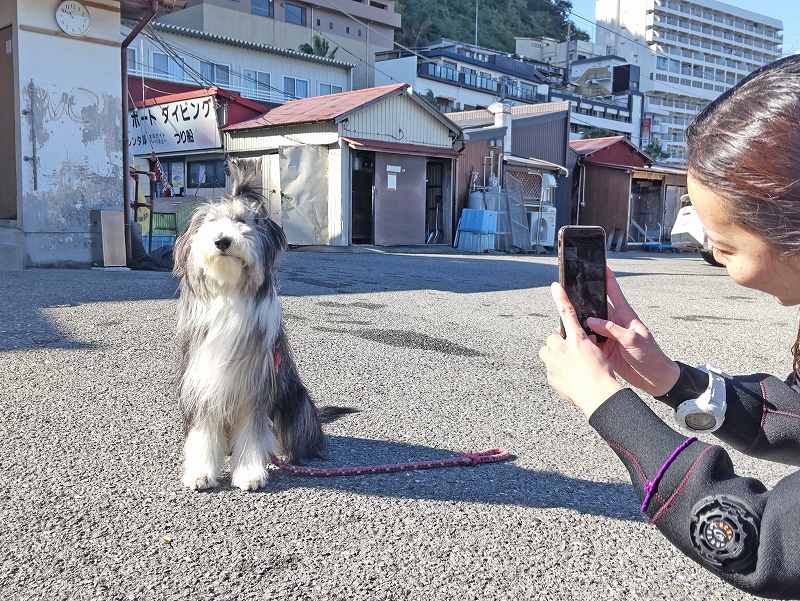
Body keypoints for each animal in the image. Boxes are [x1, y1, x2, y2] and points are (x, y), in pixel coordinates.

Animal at [173, 161, 326, 492]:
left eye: (243, 221)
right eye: (211, 223)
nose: (222, 241)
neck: (230, 294)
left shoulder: (256, 388)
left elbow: (254, 435)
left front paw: (250, 473)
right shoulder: (204, 380)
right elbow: (203, 433)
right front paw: (201, 472)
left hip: (296, 400)